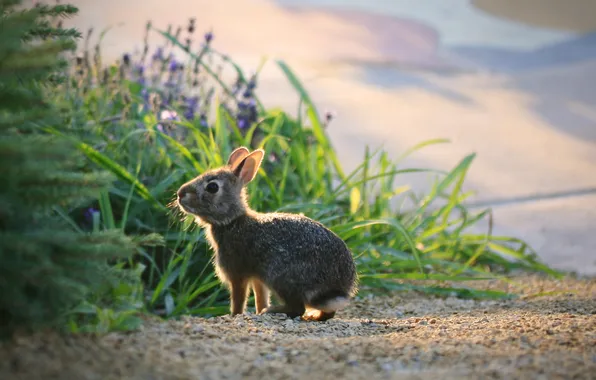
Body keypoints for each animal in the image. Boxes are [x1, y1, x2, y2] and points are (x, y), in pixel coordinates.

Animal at [175, 146, 356, 320]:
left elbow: (238, 299)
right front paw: (257, 310)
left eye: (212, 187)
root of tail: (337, 285)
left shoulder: (237, 274)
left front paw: (235, 315)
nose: (180, 194)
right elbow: (260, 296)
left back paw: (272, 311)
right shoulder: (257, 278)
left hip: (281, 276)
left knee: (298, 308)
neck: (232, 221)